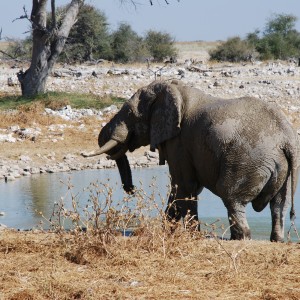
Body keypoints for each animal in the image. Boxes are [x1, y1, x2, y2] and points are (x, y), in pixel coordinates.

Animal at [81, 79, 298, 241]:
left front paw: (191, 235)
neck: (175, 89)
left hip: (247, 161)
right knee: (280, 203)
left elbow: (184, 184)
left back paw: (240, 238)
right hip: (283, 167)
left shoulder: (180, 141)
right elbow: (182, 187)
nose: (131, 190)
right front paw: (167, 231)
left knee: (231, 196)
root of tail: (287, 139)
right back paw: (276, 239)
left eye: (130, 114)